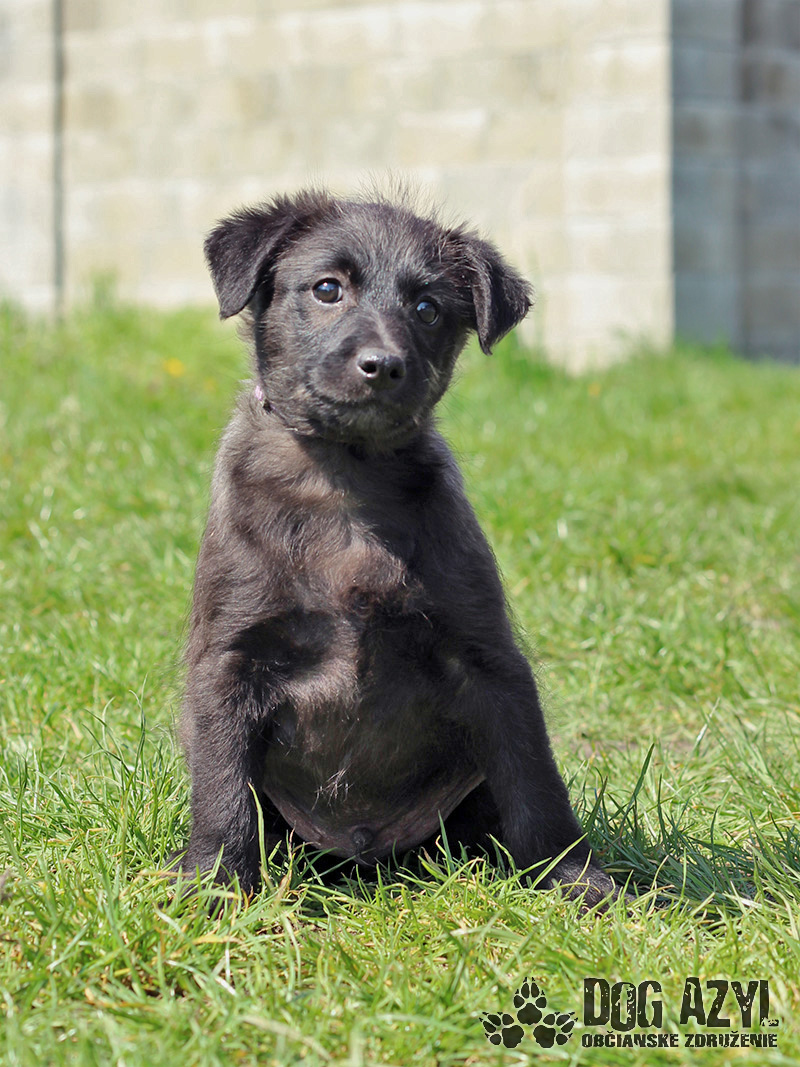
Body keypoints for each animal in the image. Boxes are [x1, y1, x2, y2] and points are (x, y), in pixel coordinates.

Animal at [179, 189, 615, 906]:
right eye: (328, 288)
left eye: (428, 307)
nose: (383, 366)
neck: (346, 477)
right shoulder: (230, 661)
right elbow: (222, 789)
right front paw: (215, 887)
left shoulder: (490, 663)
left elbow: (536, 783)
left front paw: (575, 879)